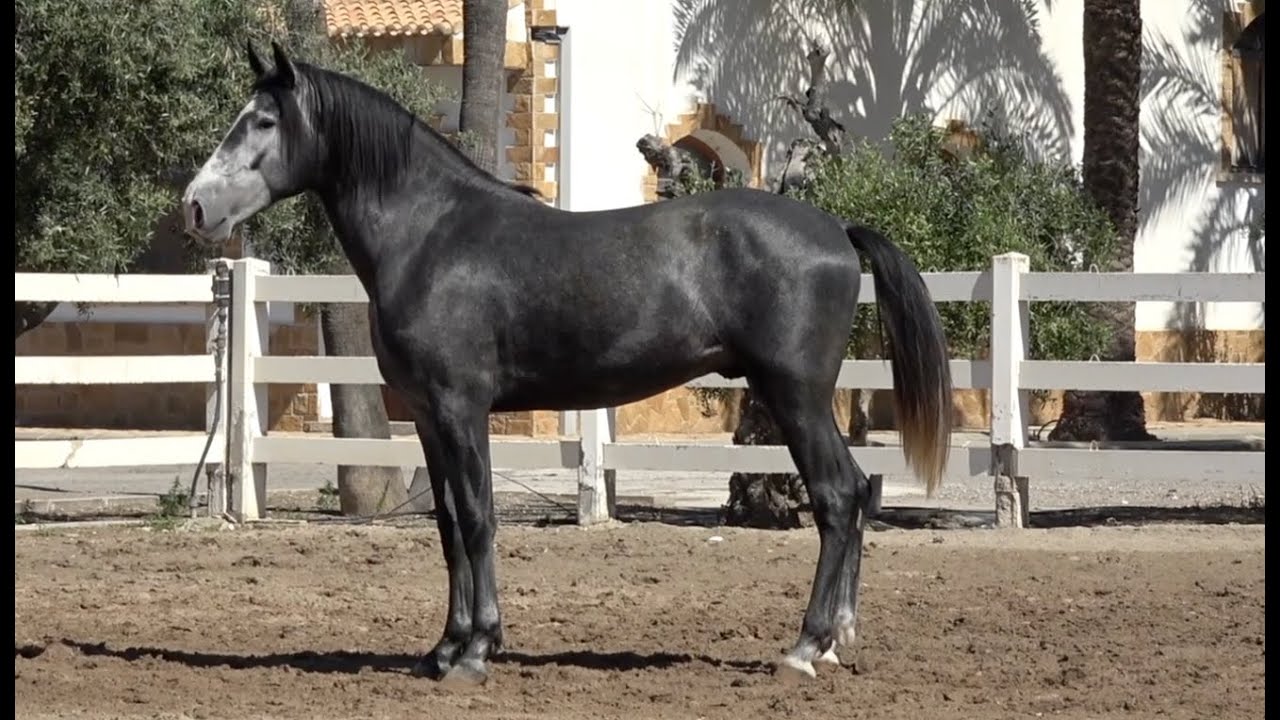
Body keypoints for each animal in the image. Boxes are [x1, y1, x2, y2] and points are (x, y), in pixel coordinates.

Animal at [182, 41, 954, 686]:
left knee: (837, 496)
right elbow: (447, 526)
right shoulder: (429, 419)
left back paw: (803, 647)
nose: (193, 207)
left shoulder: (462, 410)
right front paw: (443, 648)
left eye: (261, 122)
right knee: (854, 493)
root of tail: (836, 230)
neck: (432, 234)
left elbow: (478, 517)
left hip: (794, 395)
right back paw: (834, 640)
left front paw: (476, 651)